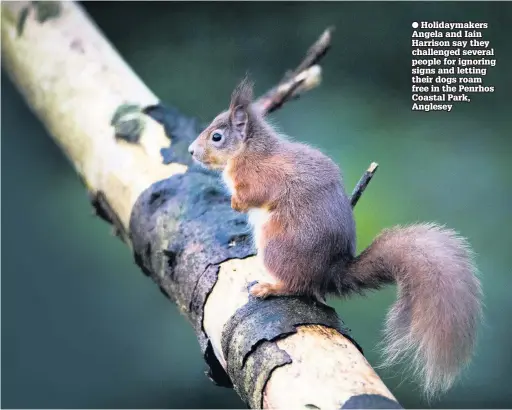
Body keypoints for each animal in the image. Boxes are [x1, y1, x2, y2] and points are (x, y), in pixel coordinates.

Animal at [186, 77, 482, 398]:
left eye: (216, 137)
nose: (190, 151)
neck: (248, 150)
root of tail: (328, 273)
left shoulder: (259, 176)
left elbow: (254, 195)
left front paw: (236, 203)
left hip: (275, 246)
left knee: (297, 285)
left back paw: (270, 287)